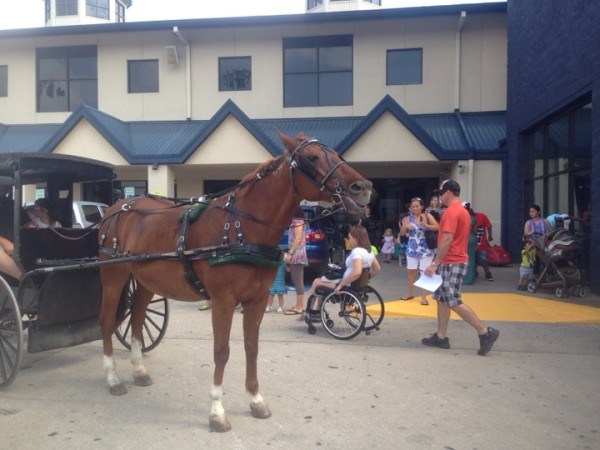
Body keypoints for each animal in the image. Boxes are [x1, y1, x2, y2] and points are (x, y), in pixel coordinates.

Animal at [96, 132, 372, 430]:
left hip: (146, 282)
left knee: (136, 319)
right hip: (113, 278)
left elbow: (251, 348)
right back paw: (112, 377)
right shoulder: (223, 301)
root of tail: (117, 208)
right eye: (312, 157)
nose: (363, 186)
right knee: (107, 322)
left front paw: (256, 400)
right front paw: (217, 410)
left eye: (334, 153)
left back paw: (138, 370)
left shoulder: (257, 300)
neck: (241, 230)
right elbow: (222, 351)